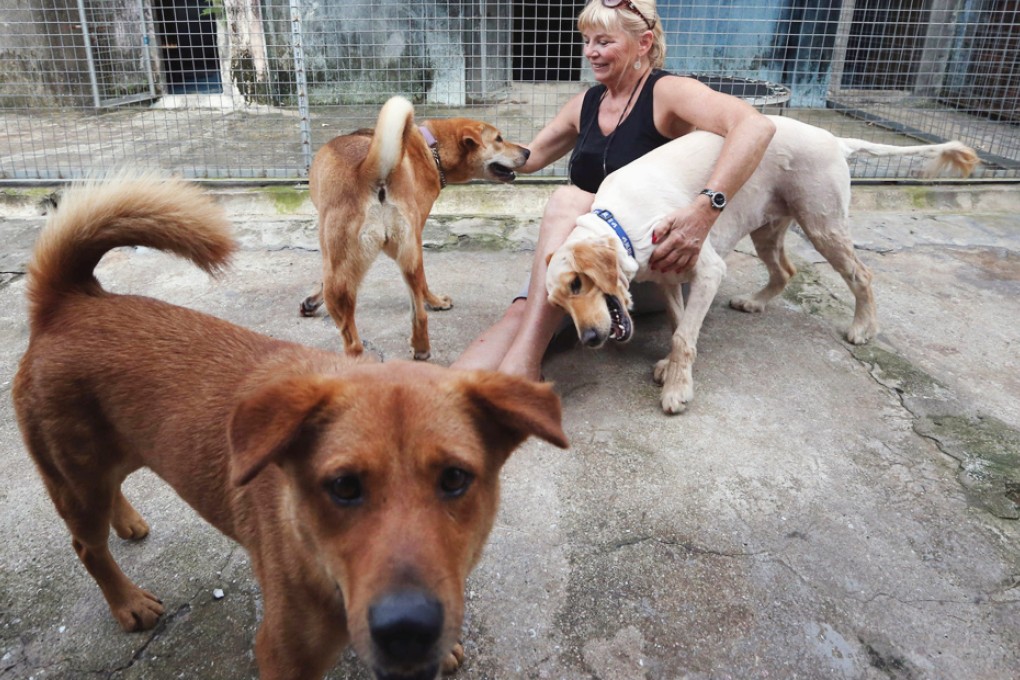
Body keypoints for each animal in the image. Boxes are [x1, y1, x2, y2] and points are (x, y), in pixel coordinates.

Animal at [299, 96, 530, 360]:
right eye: (499, 139)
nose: (528, 151)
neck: (431, 149)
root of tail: (368, 170)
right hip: (403, 256)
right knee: (419, 312)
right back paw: (421, 347)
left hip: (354, 271)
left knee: (355, 342)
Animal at [546, 115, 975, 415]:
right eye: (558, 303)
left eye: (577, 284)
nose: (590, 340)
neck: (622, 222)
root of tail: (834, 139)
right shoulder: (669, 277)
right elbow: (678, 325)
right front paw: (673, 368)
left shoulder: (708, 270)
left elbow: (684, 336)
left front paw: (677, 391)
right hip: (768, 230)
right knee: (786, 272)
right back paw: (754, 302)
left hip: (823, 225)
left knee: (861, 274)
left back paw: (862, 327)